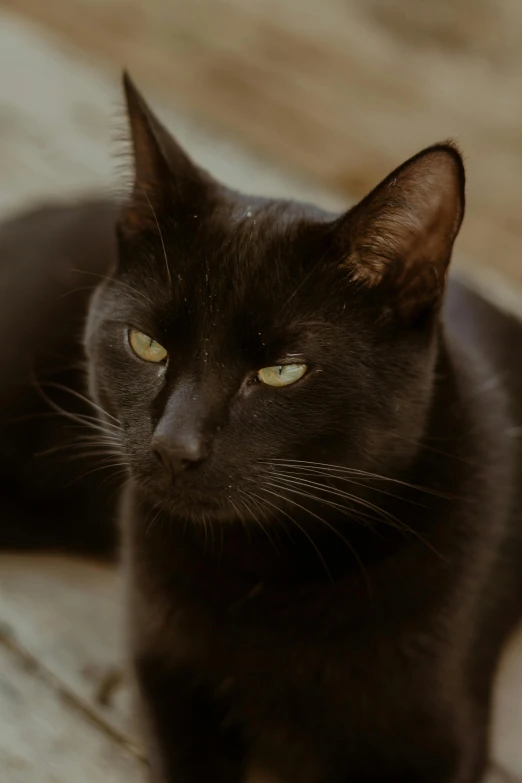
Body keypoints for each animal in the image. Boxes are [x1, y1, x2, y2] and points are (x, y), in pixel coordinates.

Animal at [1, 72, 520, 776]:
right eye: (146, 345)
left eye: (282, 372)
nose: (173, 444)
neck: (266, 569)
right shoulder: (166, 675)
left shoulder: (440, 742)